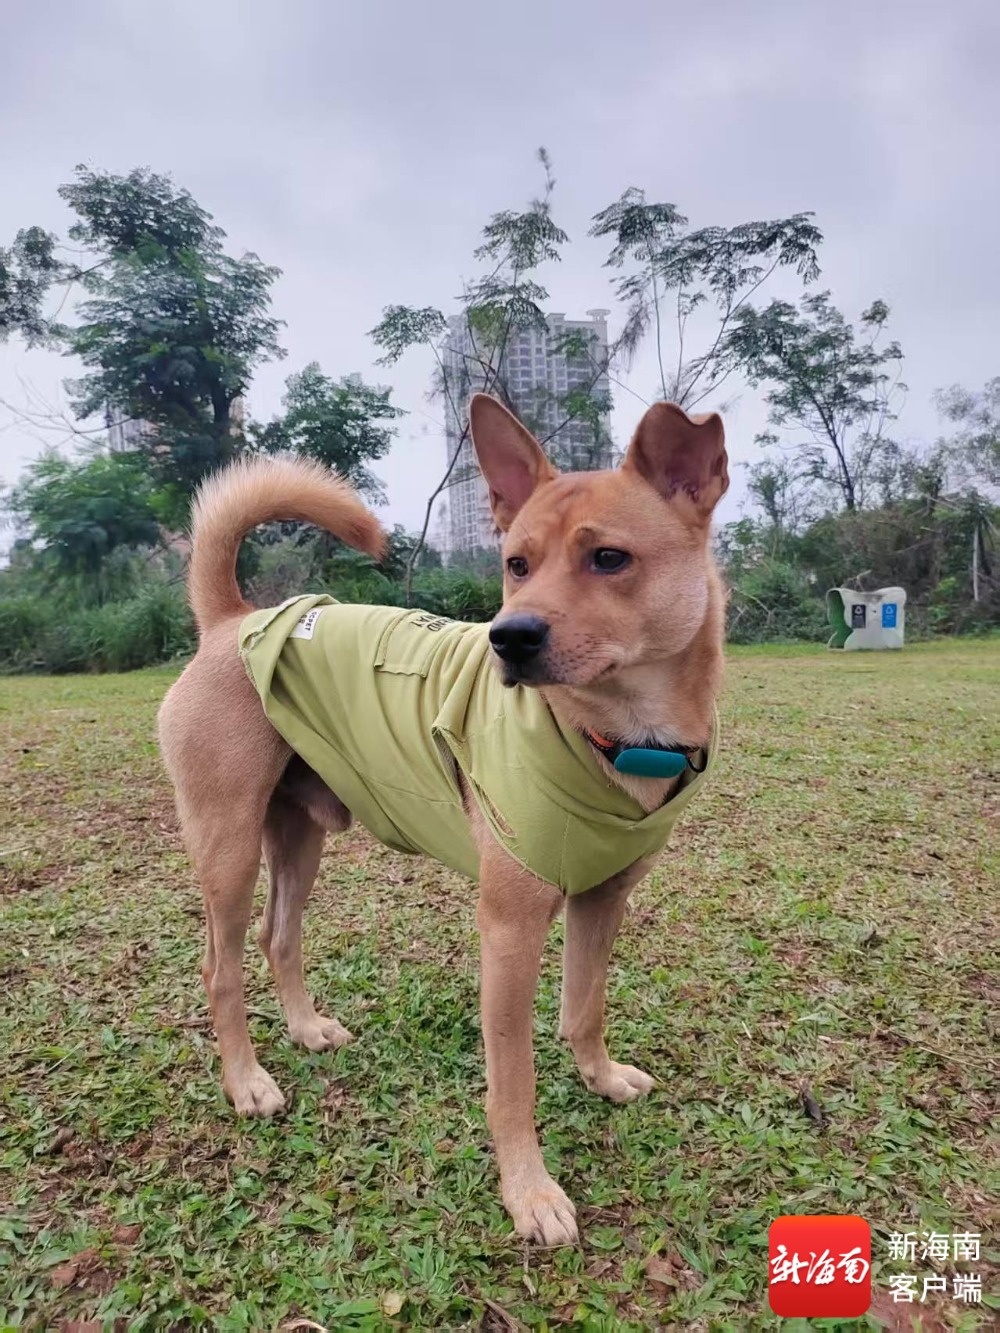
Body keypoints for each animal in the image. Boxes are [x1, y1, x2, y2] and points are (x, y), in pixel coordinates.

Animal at [157, 393, 729, 1246]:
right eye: (516, 564)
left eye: (609, 559)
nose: (509, 637)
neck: (617, 736)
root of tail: (233, 620)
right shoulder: (510, 928)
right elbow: (513, 1079)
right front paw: (529, 1191)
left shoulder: (603, 899)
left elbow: (585, 1007)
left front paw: (599, 1076)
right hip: (226, 845)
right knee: (220, 967)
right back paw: (248, 1080)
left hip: (299, 833)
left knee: (277, 935)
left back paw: (306, 1028)